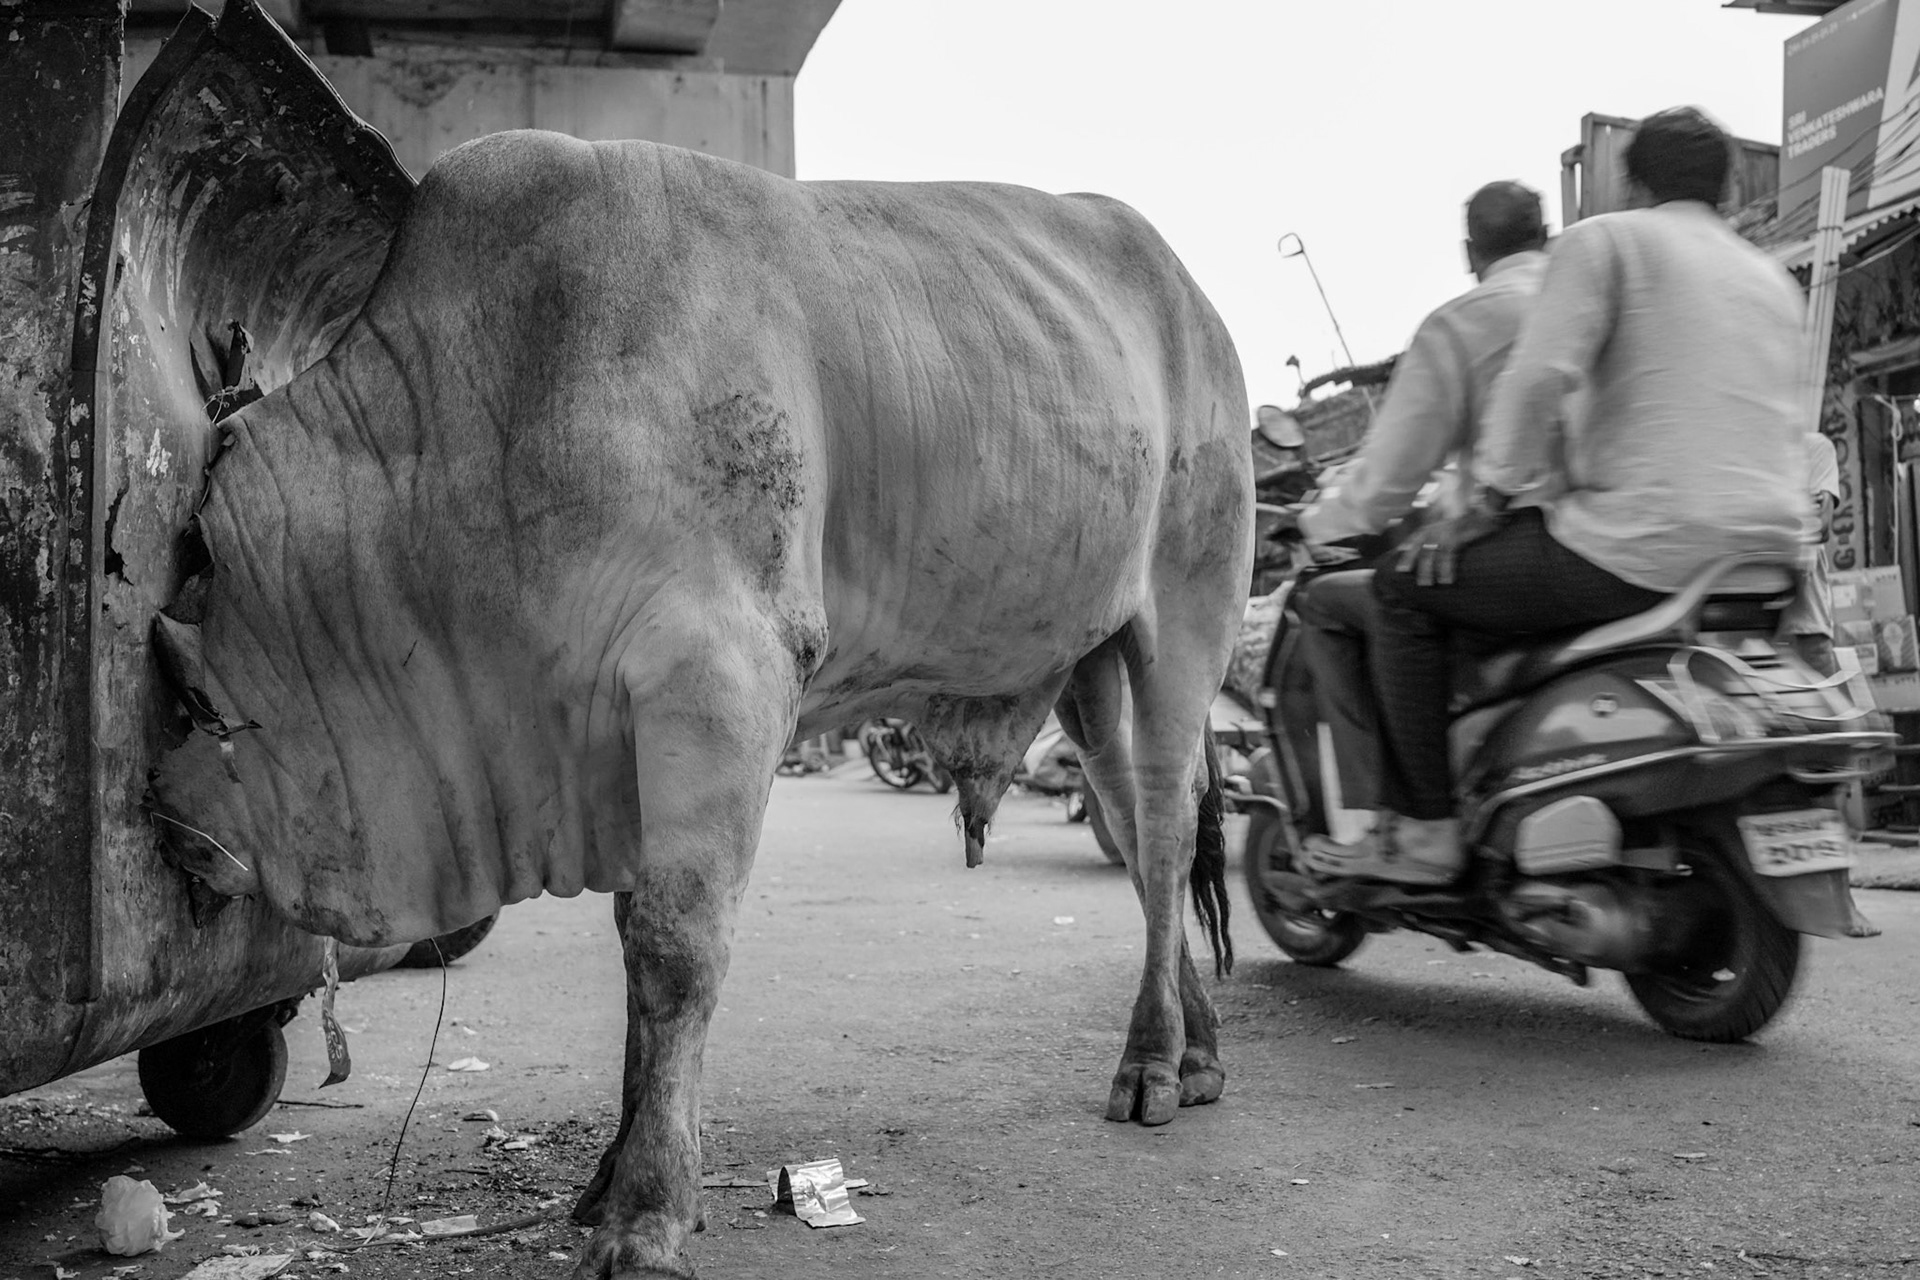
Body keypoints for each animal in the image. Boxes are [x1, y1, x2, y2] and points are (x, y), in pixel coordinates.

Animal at [148, 129, 1252, 1278]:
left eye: (184, 686)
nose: (162, 819)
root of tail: (1194, 302)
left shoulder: (721, 675)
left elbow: (675, 950)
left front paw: (649, 1211)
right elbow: (635, 947)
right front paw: (606, 1177)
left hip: (1190, 611)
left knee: (1165, 828)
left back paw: (1153, 1061)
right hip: (1088, 664)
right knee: (1133, 829)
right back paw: (1199, 1048)